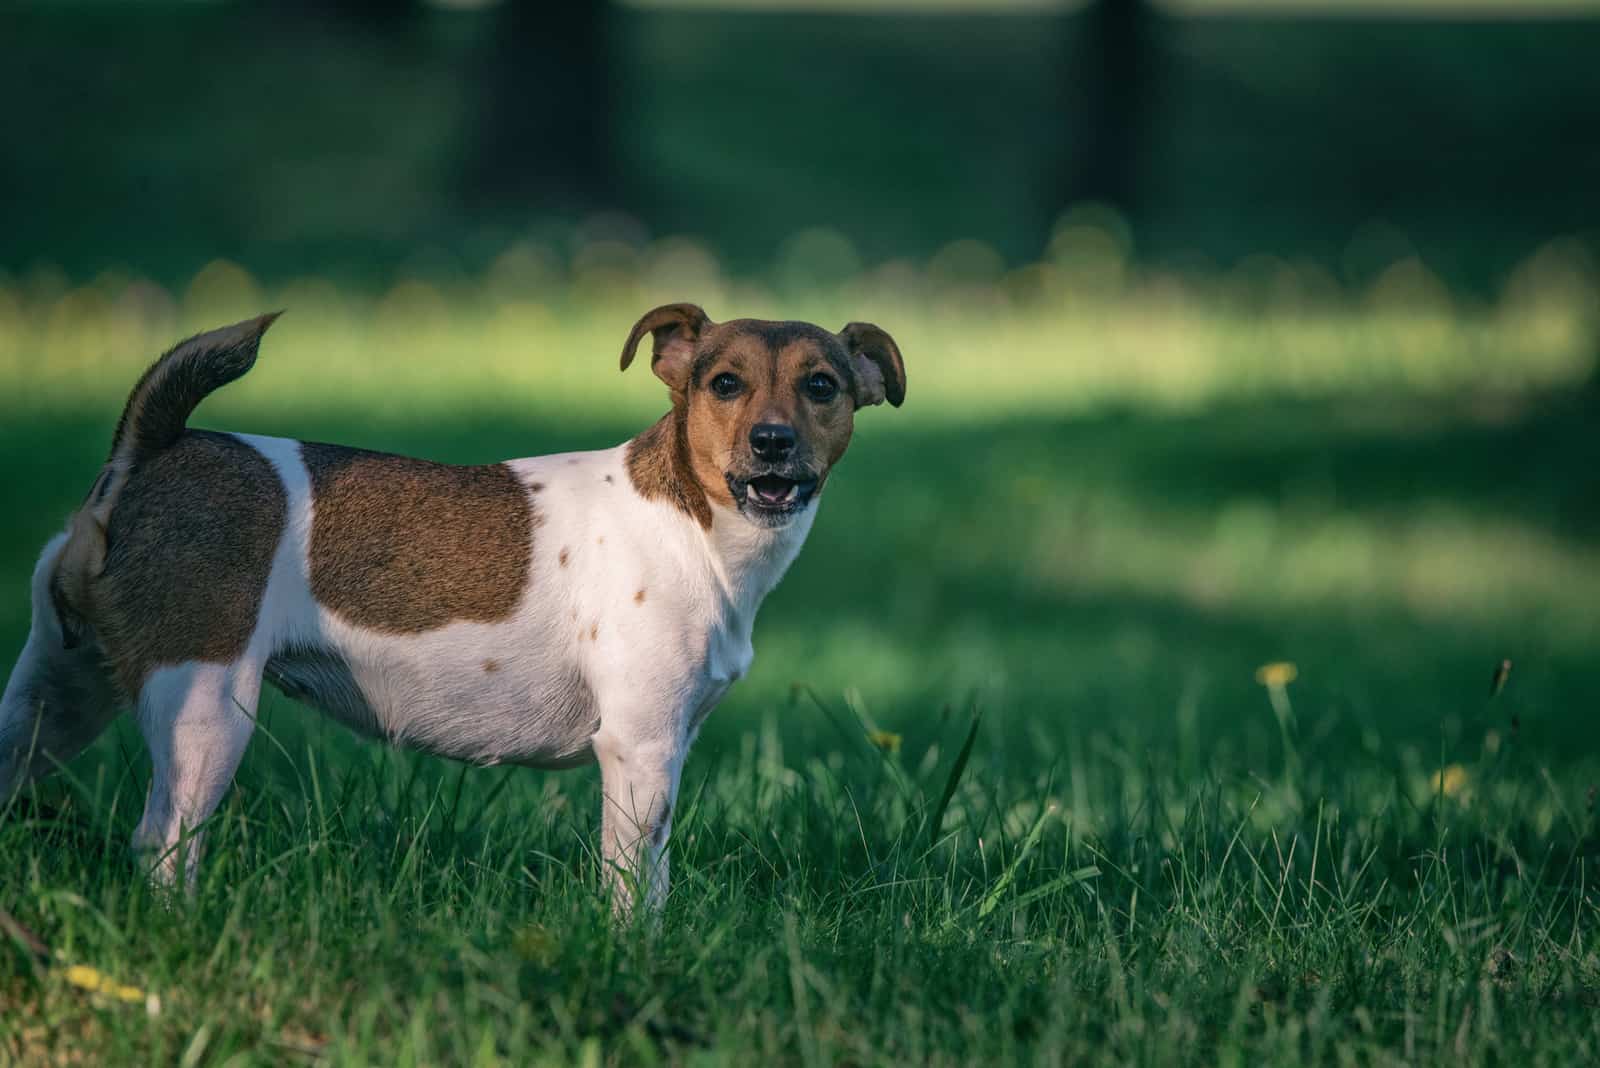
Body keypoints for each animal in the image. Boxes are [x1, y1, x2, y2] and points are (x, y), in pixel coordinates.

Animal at [0, 303, 902, 914]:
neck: (691, 521)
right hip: (206, 711)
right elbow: (635, 886)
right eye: (725, 384)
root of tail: (150, 451)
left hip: (57, 694)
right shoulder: (640, 751)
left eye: (822, 387)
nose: (774, 443)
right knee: (162, 846)